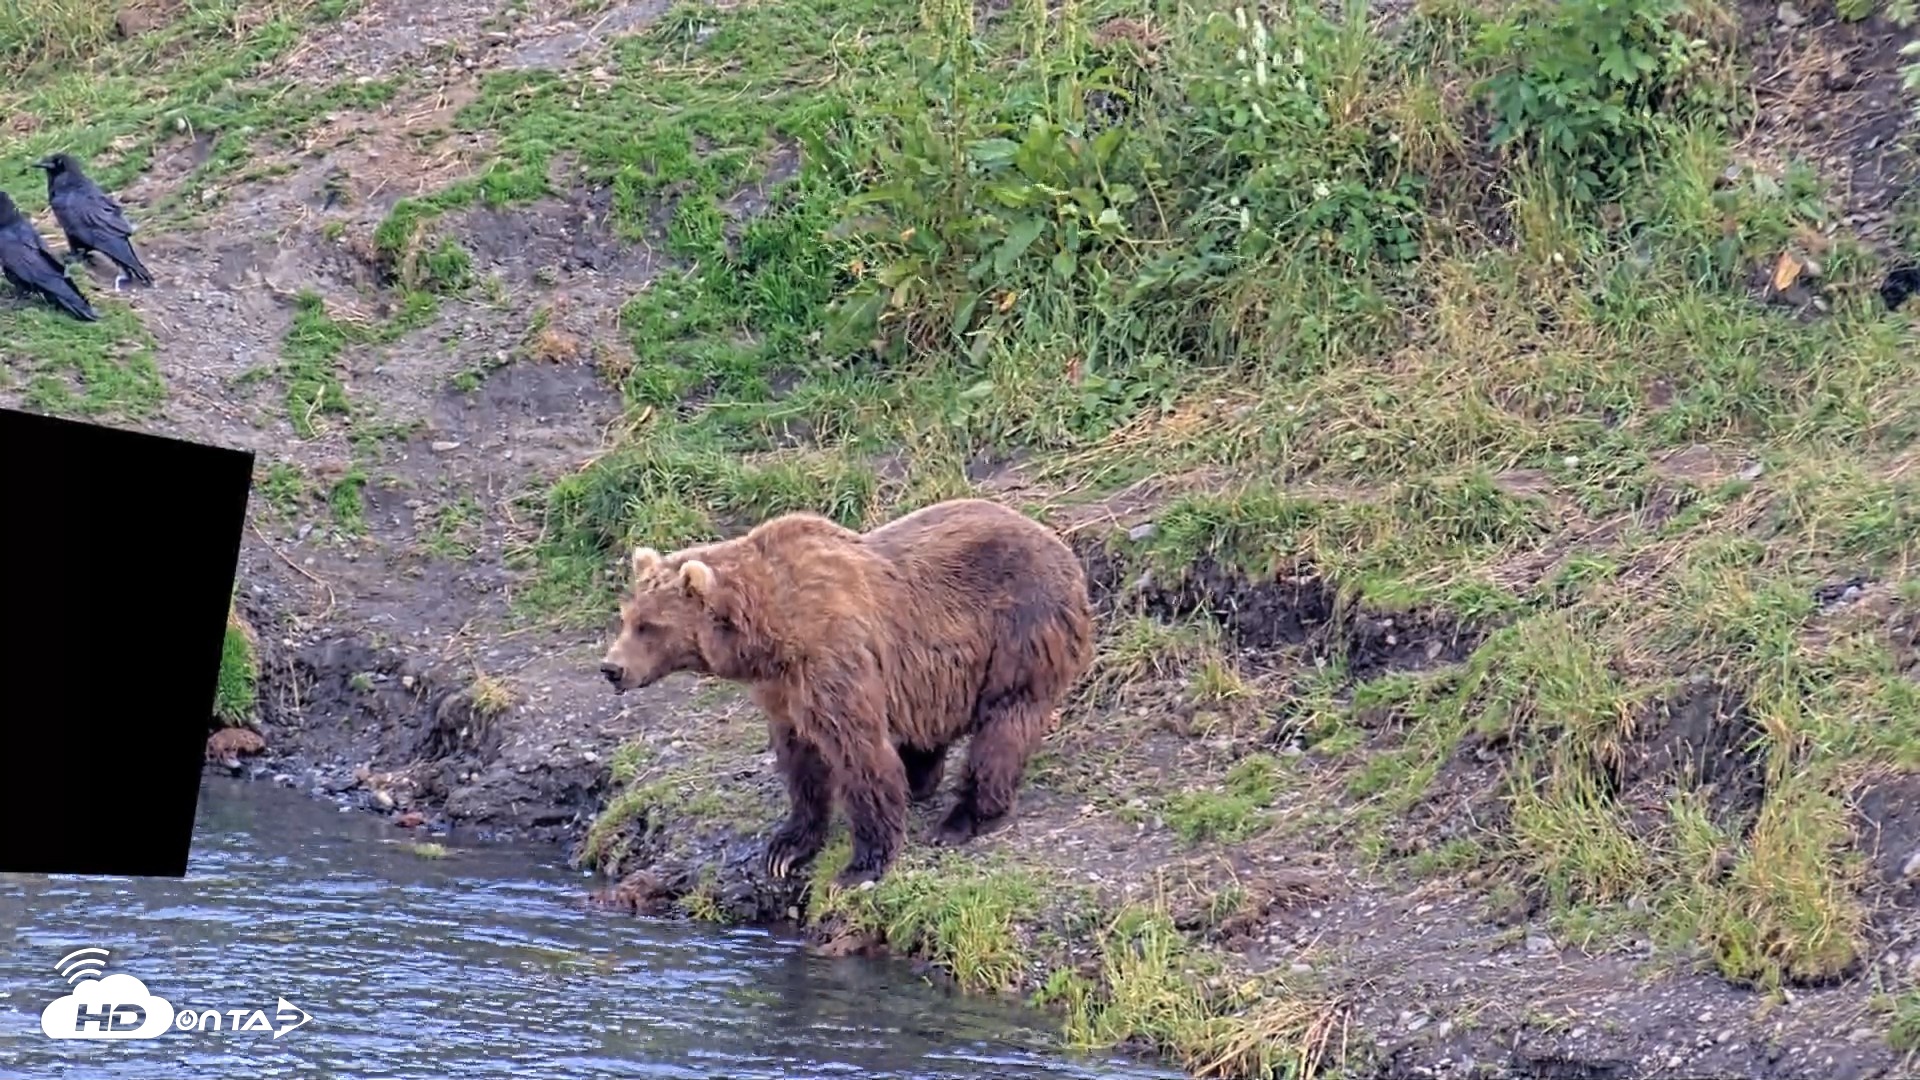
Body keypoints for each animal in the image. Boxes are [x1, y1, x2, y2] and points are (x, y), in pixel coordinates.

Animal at [596, 497, 1095, 889]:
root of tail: (1065, 549)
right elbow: (801, 760)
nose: (611, 668)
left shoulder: (832, 659)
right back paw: (920, 777)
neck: (770, 631)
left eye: (650, 626)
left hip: (1022, 626)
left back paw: (963, 817)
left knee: (1005, 722)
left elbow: (858, 751)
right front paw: (786, 847)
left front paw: (862, 863)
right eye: (626, 617)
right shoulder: (782, 688)